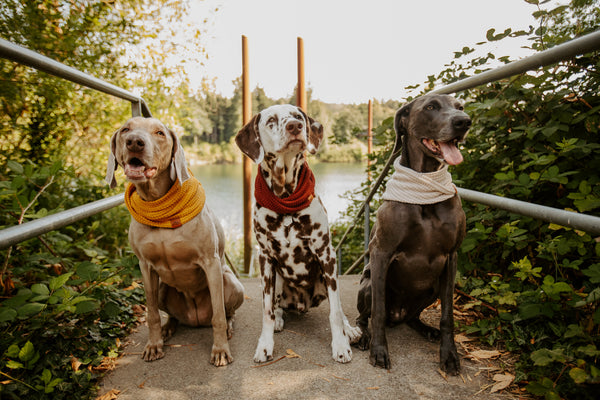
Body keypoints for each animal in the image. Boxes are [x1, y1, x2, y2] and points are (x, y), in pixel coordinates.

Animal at [237, 104, 360, 364]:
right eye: (271, 120)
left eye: (297, 115)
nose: (296, 127)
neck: (286, 200)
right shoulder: (265, 259)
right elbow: (266, 310)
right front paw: (265, 345)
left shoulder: (326, 255)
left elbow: (335, 312)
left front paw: (340, 344)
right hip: (277, 279)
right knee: (276, 306)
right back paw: (279, 318)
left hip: (327, 276)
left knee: (338, 307)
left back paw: (350, 330)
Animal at [354, 94, 472, 376]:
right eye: (430, 107)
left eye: (460, 107)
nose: (464, 122)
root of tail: (397, 316)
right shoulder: (381, 252)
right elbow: (377, 312)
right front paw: (379, 351)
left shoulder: (451, 256)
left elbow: (448, 316)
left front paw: (449, 355)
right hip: (368, 285)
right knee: (365, 317)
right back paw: (364, 336)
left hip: (434, 287)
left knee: (413, 318)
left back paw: (426, 329)